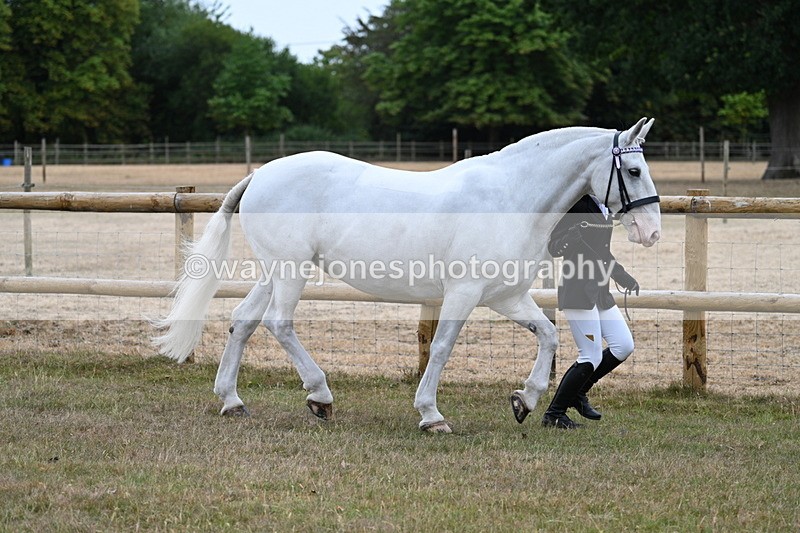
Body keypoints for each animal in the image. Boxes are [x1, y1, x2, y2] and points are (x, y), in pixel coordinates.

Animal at [153, 117, 661, 433]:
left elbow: (549, 336)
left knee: (243, 321)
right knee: (280, 324)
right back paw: (320, 396)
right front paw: (431, 415)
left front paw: (526, 400)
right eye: (634, 170)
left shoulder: (505, 296)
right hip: (291, 273)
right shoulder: (464, 293)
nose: (651, 232)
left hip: (274, 272)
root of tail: (258, 175)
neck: (511, 197)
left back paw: (232, 401)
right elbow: (441, 348)